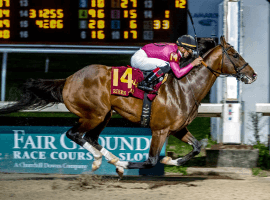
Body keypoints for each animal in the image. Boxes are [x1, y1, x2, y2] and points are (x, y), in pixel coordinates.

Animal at [0, 36, 256, 177]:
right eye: (234, 54)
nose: (252, 75)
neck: (185, 87)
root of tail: (68, 79)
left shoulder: (178, 129)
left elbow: (197, 147)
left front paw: (169, 161)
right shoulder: (160, 130)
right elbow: (151, 161)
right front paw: (129, 162)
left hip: (104, 115)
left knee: (90, 137)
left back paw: (108, 160)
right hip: (93, 114)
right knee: (74, 134)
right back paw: (106, 161)